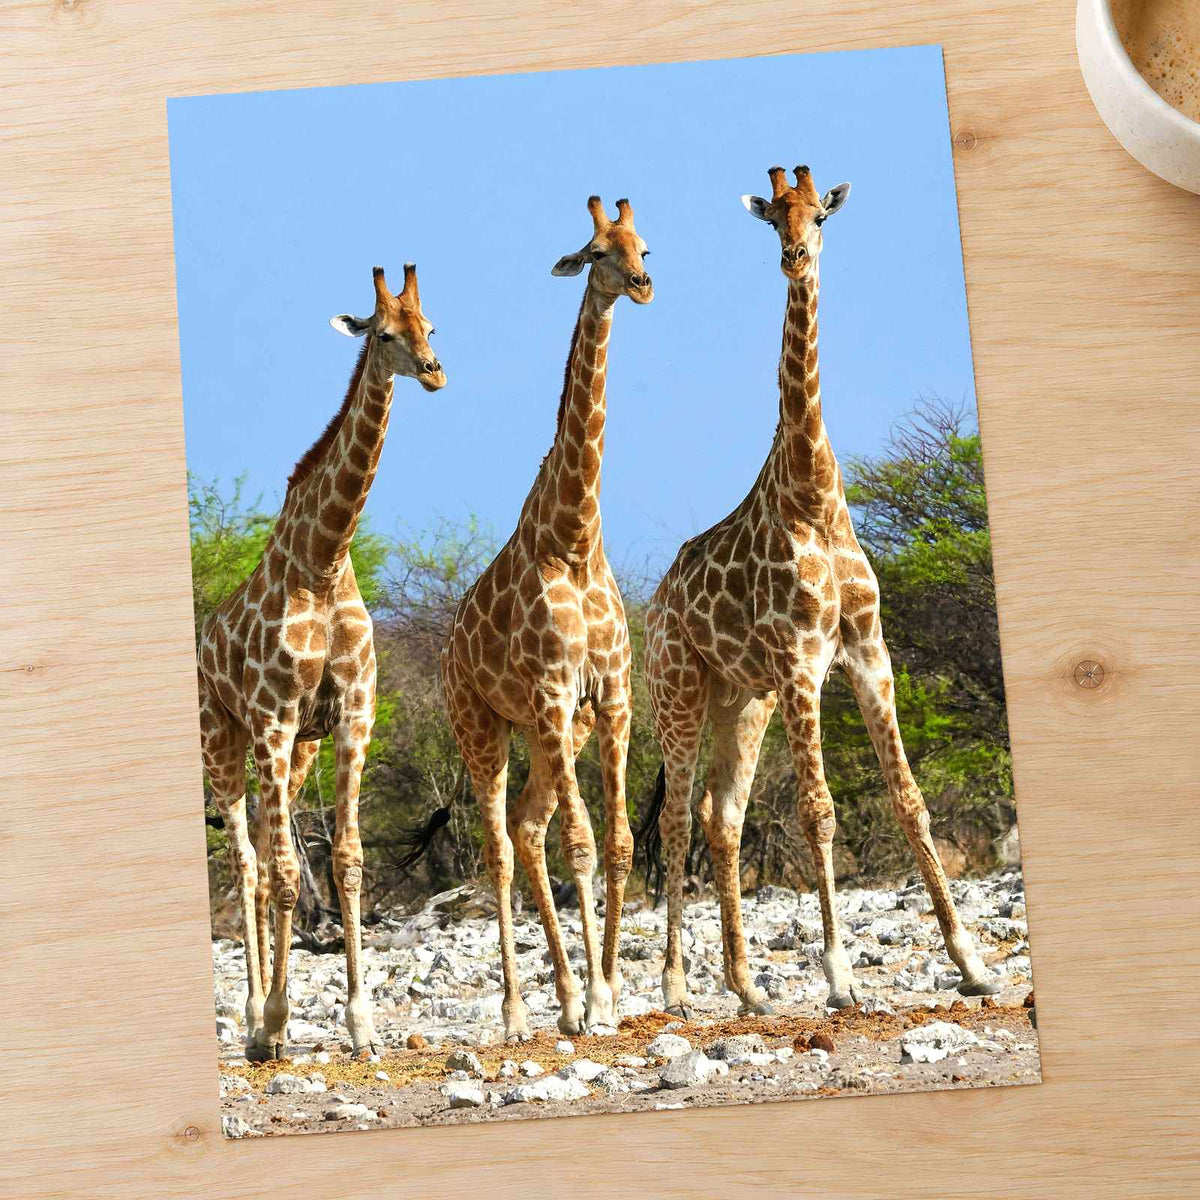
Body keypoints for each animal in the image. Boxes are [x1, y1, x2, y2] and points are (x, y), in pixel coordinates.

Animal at [197, 263, 445, 1060]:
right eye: (386, 333)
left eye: (432, 325)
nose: (435, 371)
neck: (325, 558)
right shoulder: (274, 721)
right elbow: (280, 872)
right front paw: (275, 1021)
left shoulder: (350, 717)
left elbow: (345, 861)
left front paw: (361, 1023)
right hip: (225, 740)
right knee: (247, 863)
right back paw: (254, 1020)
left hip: (295, 751)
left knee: (267, 856)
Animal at [418, 195, 652, 1041]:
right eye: (595, 252)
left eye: (643, 245)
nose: (643, 285)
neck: (575, 536)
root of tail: (447, 650)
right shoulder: (553, 689)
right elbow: (581, 845)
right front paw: (600, 999)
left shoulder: (610, 695)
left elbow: (616, 843)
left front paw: (608, 992)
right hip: (481, 725)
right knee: (499, 847)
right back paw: (521, 1012)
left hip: (555, 730)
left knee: (526, 827)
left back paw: (567, 999)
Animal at [641, 166, 999, 1018]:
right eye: (774, 219)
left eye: (820, 216)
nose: (795, 257)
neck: (815, 495)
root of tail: (657, 603)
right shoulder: (803, 660)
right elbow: (819, 810)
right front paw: (838, 976)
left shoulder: (869, 652)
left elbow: (909, 798)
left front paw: (971, 963)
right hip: (679, 690)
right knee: (673, 821)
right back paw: (675, 985)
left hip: (744, 700)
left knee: (722, 817)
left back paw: (746, 988)